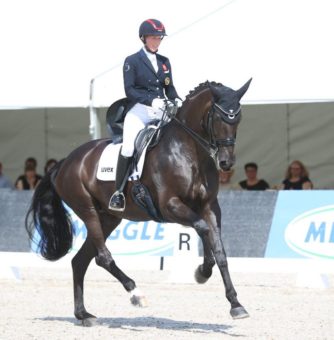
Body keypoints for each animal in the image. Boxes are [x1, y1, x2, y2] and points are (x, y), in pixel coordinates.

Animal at [25, 78, 250, 326]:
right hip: (87, 210)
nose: (226, 162)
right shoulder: (169, 206)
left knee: (80, 261)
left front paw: (235, 304)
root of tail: (65, 162)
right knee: (102, 257)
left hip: (109, 218)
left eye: (238, 118)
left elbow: (220, 252)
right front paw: (202, 271)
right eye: (219, 118)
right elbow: (202, 228)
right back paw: (136, 294)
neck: (189, 152)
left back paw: (83, 314)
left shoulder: (210, 207)